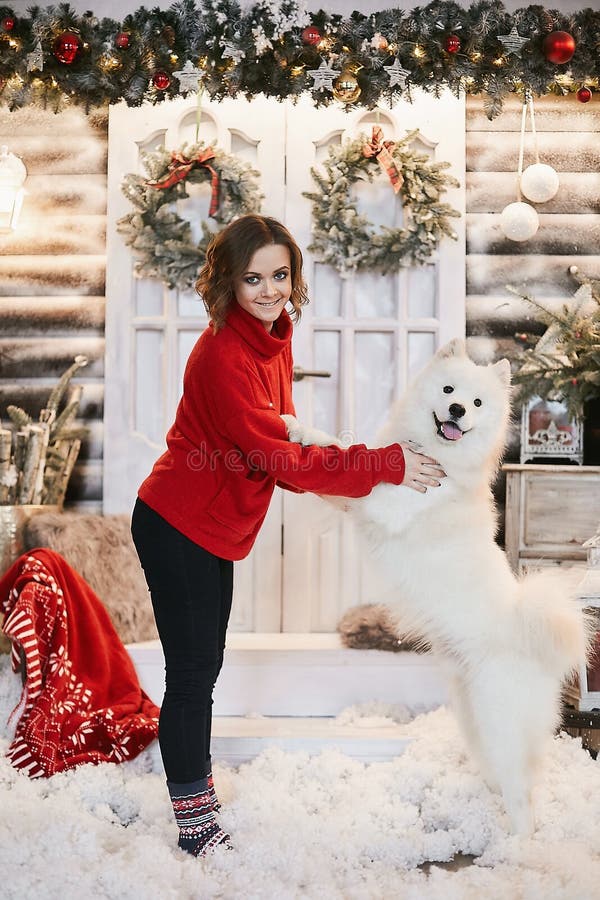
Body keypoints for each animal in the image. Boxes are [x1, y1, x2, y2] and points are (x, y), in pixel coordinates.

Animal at [282, 340, 592, 836]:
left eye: (478, 403)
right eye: (448, 389)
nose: (458, 409)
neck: (438, 459)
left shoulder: (384, 502)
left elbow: (349, 453)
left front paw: (301, 428)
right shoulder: (356, 501)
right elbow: (345, 460)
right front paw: (301, 433)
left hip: (501, 721)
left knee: (523, 794)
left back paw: (518, 844)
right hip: (473, 719)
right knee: (502, 775)